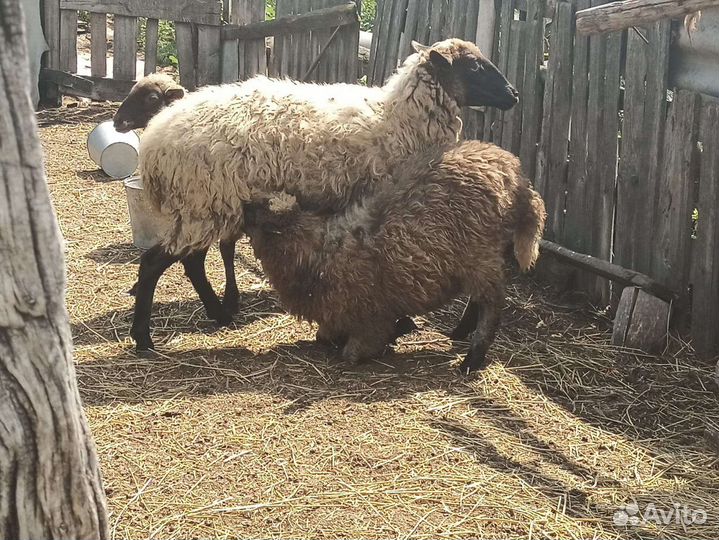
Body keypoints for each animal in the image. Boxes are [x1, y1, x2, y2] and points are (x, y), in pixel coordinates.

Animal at [130, 38, 519, 351]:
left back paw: (217, 314)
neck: (399, 120)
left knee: (190, 261)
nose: (513, 95)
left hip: (206, 205)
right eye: (474, 66)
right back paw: (144, 338)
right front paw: (395, 322)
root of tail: (155, 142)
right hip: (206, 200)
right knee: (156, 263)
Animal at [241, 140, 546, 374]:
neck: (318, 254)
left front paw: (400, 330)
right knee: (478, 299)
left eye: (262, 215)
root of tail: (514, 173)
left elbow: (351, 352)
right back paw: (459, 333)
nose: (243, 205)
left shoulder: (370, 319)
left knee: (492, 304)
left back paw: (472, 359)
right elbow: (323, 338)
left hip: (481, 255)